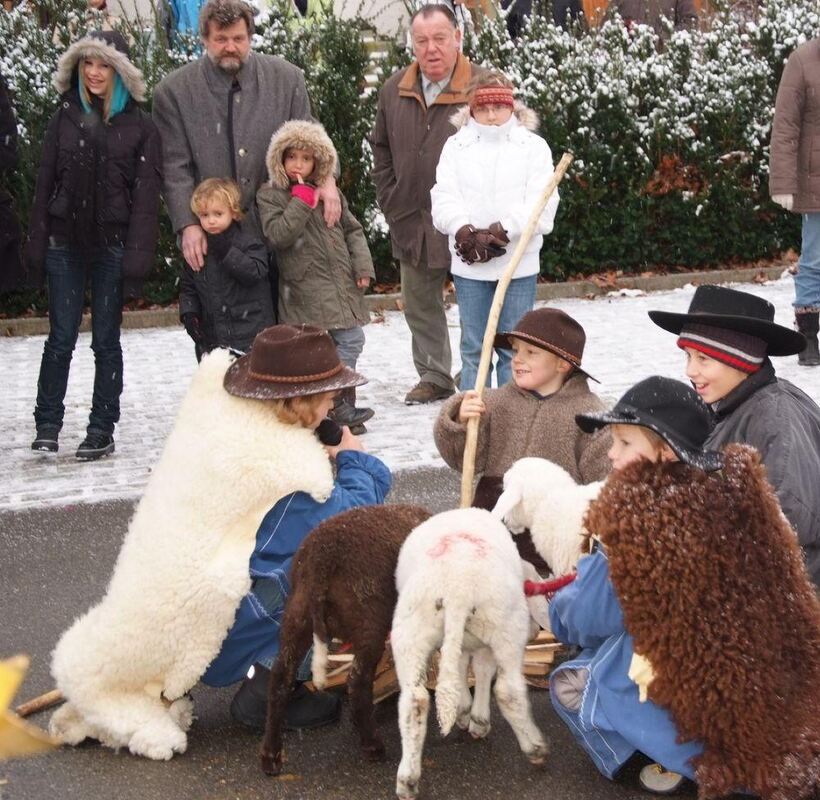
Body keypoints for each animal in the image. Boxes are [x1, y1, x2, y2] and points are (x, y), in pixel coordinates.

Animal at [48, 348, 334, 756]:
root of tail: (70, 672)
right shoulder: (281, 453)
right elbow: (317, 479)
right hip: (122, 681)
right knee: (128, 717)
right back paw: (162, 739)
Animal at [260, 506, 432, 776]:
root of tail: (321, 561)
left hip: (296, 616)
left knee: (280, 677)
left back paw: (271, 756)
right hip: (369, 619)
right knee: (357, 683)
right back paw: (372, 745)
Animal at [392, 510, 548, 796]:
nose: (535, 632)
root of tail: (457, 590)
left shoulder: (467, 640)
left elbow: (463, 669)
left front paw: (467, 713)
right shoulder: (484, 640)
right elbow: (484, 671)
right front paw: (478, 719)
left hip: (410, 630)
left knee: (414, 700)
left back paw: (407, 778)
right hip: (505, 625)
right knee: (508, 691)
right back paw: (535, 748)